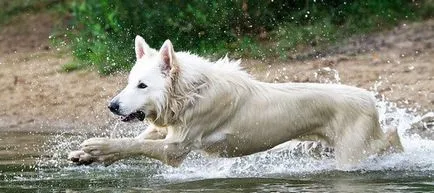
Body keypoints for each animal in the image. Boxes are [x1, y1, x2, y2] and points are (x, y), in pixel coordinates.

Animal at [68, 35, 404, 167]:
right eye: (129, 82)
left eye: (143, 85)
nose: (111, 106)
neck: (190, 91)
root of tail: (371, 101)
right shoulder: (167, 128)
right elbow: (140, 138)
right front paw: (84, 155)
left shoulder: (177, 147)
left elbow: (133, 144)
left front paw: (99, 147)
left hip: (351, 154)